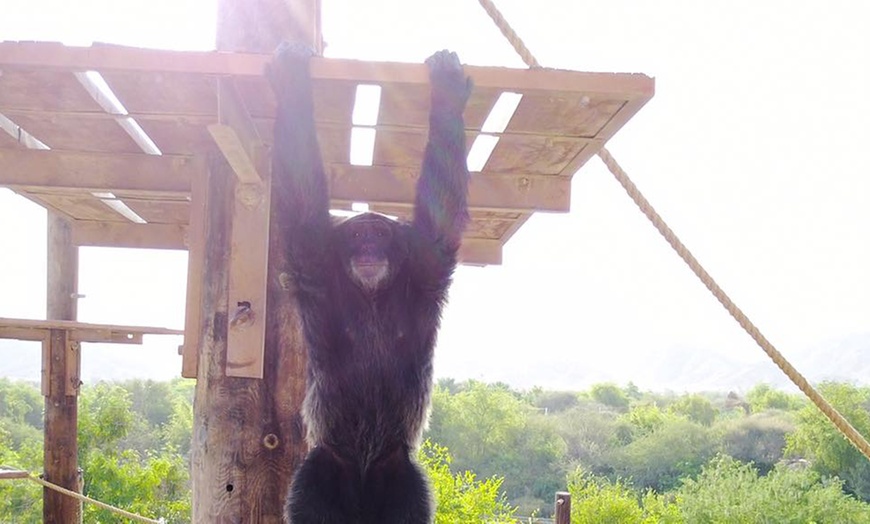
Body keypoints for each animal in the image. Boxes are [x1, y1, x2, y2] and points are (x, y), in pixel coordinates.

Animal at [268, 42, 474, 524]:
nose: (367, 245)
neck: (372, 295)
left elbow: (440, 211)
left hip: (400, 477)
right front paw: (291, 76)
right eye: (357, 234)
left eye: (378, 233)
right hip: (321, 472)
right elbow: (302, 201)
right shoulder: (313, 259)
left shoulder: (426, 266)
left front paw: (447, 91)